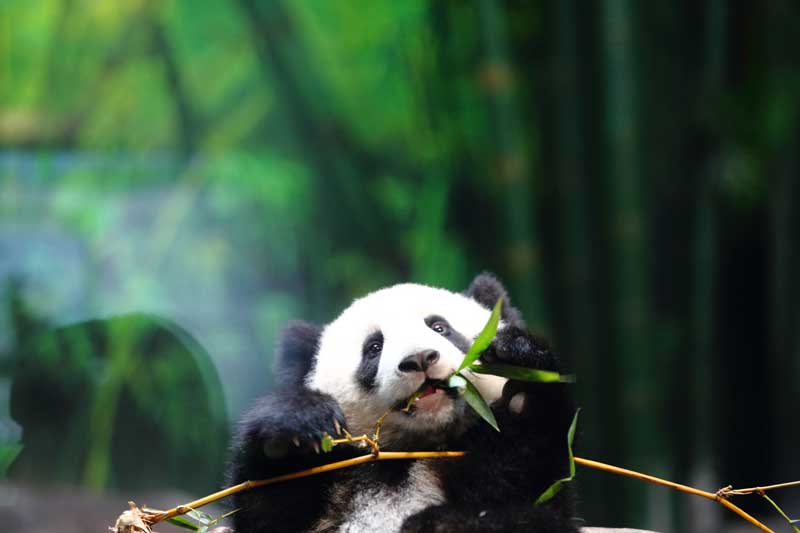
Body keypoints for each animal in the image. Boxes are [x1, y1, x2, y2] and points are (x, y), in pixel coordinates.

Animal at [226, 273, 578, 532]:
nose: (419, 358)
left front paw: (523, 378)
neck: (413, 452)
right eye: (374, 348)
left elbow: (522, 485)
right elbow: (269, 508)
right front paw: (296, 429)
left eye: (440, 327)